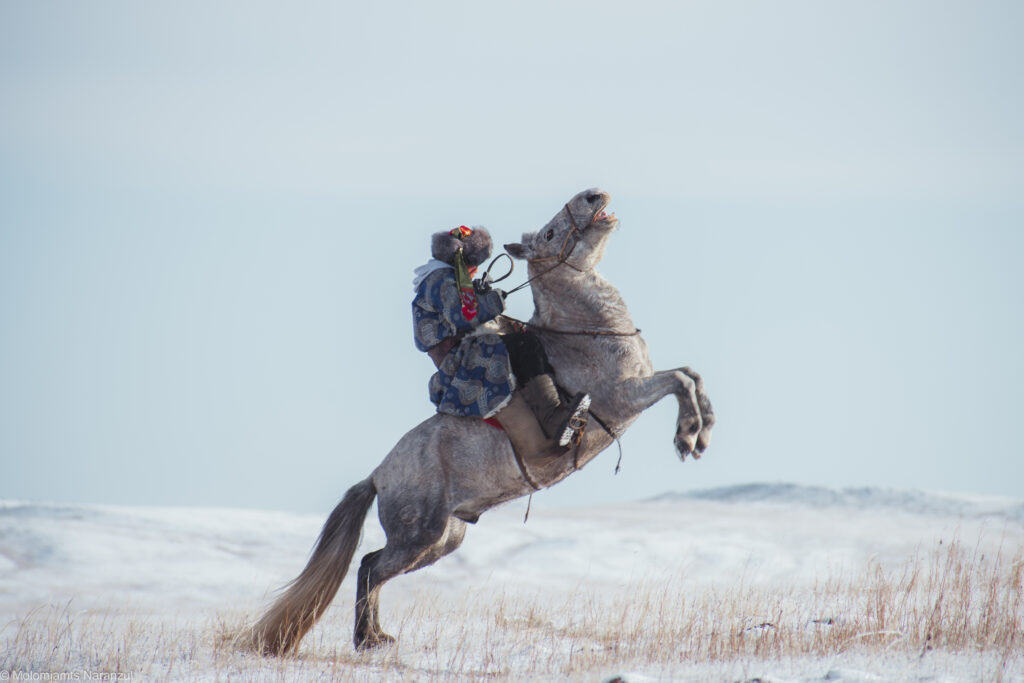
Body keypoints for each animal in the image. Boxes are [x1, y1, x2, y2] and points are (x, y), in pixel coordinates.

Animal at [247, 188, 715, 654]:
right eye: (549, 233)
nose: (593, 195)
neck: (585, 332)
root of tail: (379, 475)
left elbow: (691, 375)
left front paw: (704, 431)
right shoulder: (625, 396)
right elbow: (678, 381)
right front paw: (687, 437)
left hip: (443, 540)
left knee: (372, 566)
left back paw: (378, 636)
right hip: (419, 536)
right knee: (370, 569)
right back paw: (368, 640)